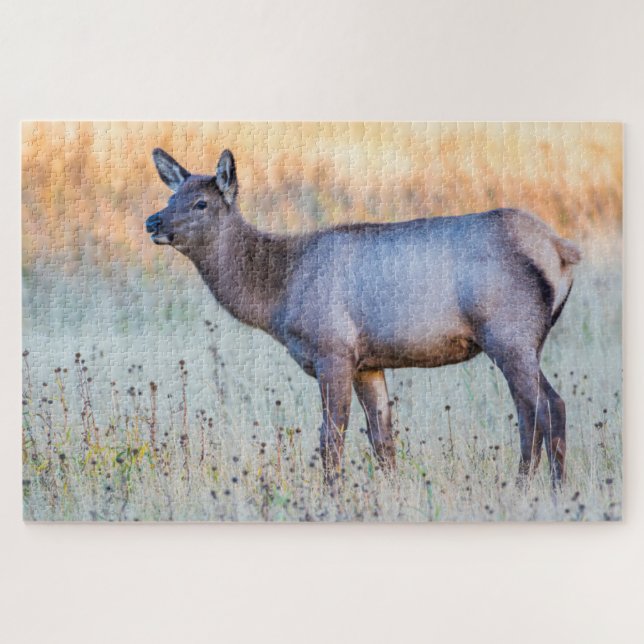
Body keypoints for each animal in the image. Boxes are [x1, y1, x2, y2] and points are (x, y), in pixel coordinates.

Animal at [146, 147, 581, 488]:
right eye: (171, 197)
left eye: (201, 203)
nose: (153, 221)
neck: (278, 296)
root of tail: (562, 250)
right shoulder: (367, 363)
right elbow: (381, 438)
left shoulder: (332, 349)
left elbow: (331, 437)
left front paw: (333, 496)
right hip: (523, 339)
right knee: (538, 411)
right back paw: (533, 487)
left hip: (509, 331)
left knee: (545, 407)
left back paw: (546, 489)